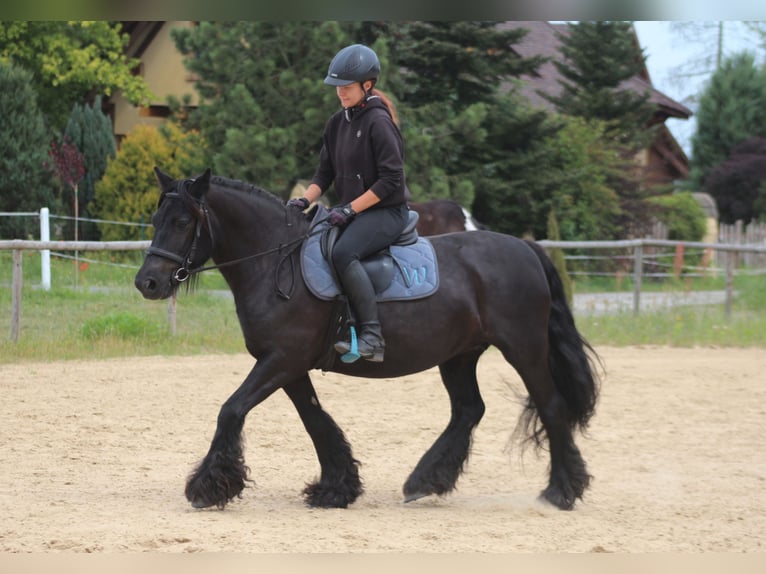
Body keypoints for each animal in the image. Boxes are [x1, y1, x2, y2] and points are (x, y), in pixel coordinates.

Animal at [136, 168, 600, 512]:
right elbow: (316, 421)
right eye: (156, 221)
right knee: (469, 410)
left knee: (550, 405)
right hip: (459, 355)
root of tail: (527, 250)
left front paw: (208, 487)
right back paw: (426, 481)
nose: (148, 282)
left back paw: (561, 492)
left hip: (524, 349)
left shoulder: (281, 360)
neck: (275, 262)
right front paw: (336, 488)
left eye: (182, 222)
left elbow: (231, 410)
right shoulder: (288, 366)